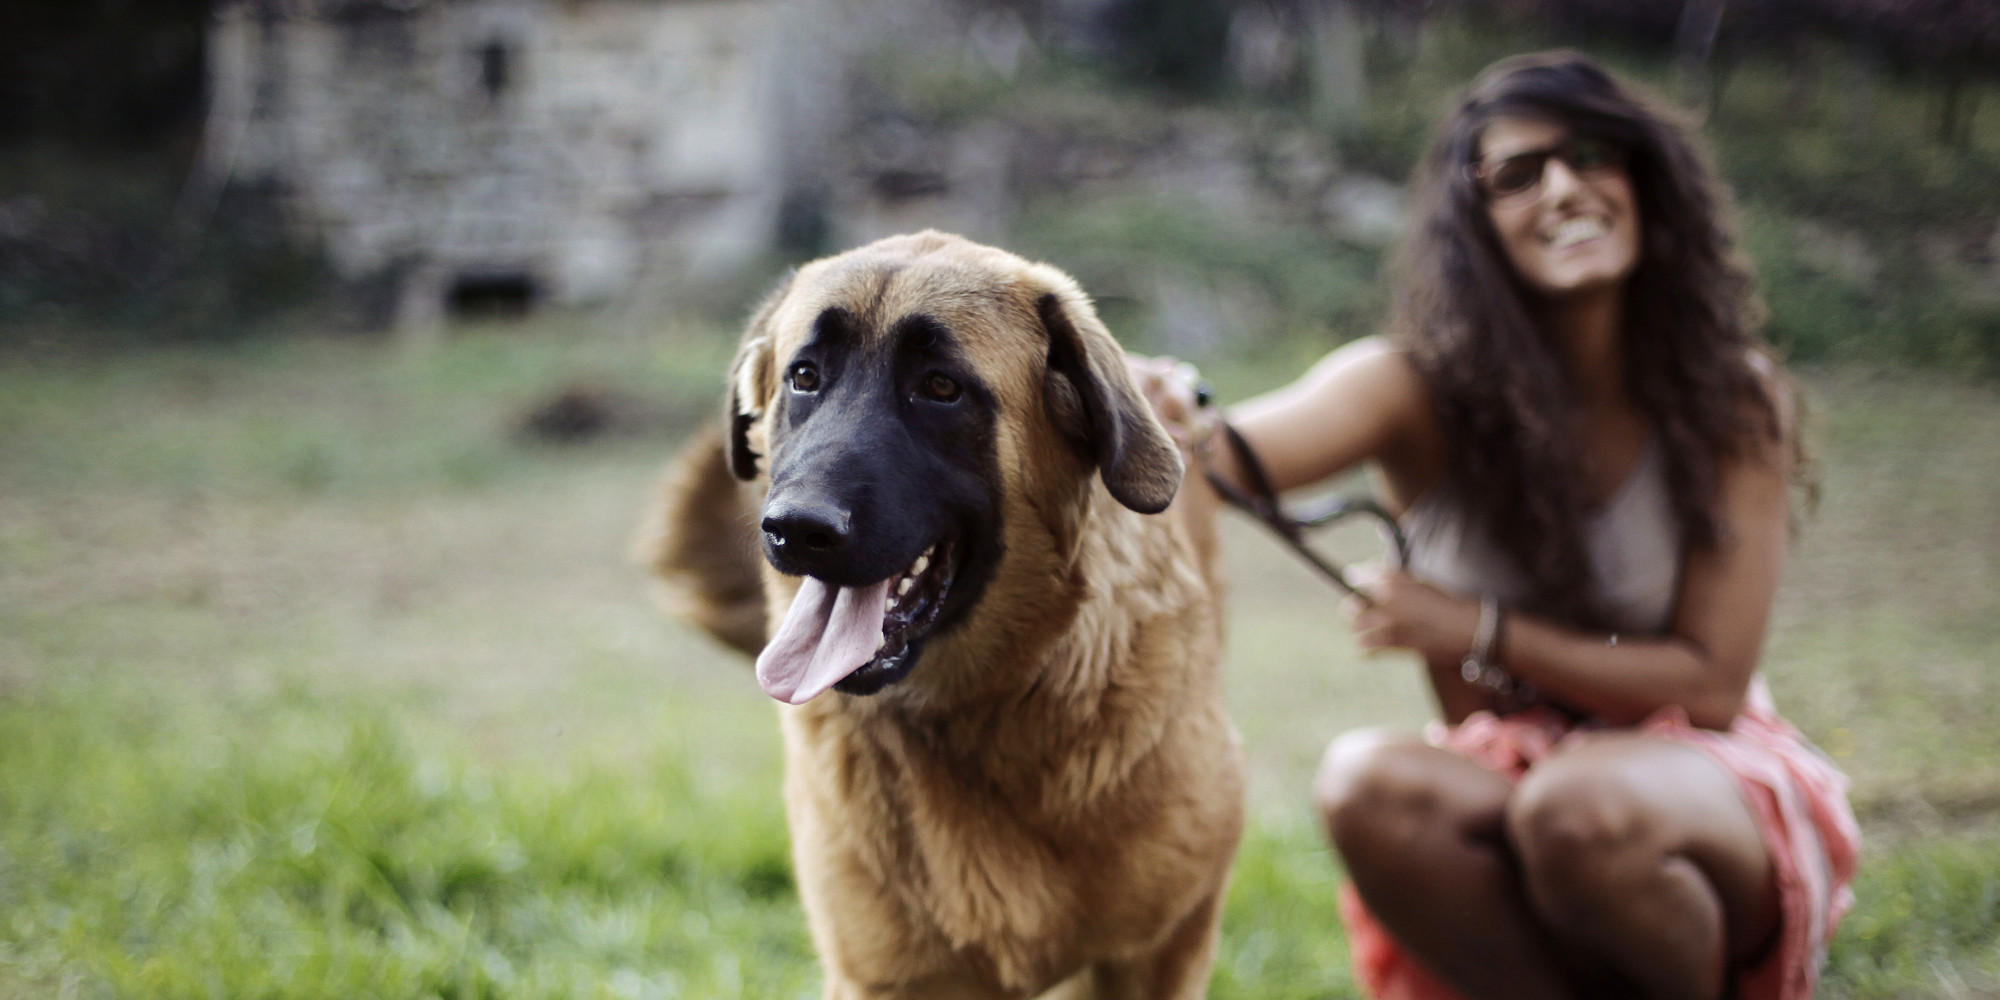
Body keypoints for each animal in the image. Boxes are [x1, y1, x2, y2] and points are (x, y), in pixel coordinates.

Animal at [644, 230, 1232, 996]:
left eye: (941, 387)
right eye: (804, 376)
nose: (794, 528)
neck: (984, 707)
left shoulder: (1159, 952)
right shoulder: (879, 975)